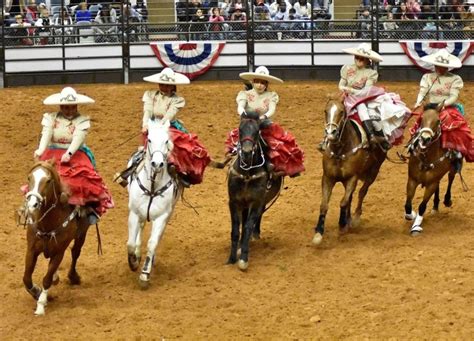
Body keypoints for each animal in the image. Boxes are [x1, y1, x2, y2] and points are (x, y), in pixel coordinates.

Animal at [21, 159, 91, 314]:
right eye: (29, 178)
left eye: (48, 181)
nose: (32, 204)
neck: (47, 224)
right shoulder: (31, 250)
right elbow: (26, 278)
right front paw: (36, 292)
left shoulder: (59, 253)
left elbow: (46, 279)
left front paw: (41, 304)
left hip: (82, 233)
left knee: (75, 252)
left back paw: (73, 277)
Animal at [125, 117, 182, 286]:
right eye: (149, 139)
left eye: (166, 141)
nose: (157, 164)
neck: (152, 187)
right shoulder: (134, 213)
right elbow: (130, 243)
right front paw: (133, 261)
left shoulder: (162, 217)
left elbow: (152, 243)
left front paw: (145, 273)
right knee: (141, 227)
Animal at [226, 111, 282, 270]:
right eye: (240, 130)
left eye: (257, 132)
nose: (246, 152)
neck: (247, 174)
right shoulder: (234, 202)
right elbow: (235, 230)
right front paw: (231, 259)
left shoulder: (256, 203)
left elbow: (247, 228)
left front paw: (243, 260)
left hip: (262, 202)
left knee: (255, 220)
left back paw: (255, 235)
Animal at [312, 97, 386, 243]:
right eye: (325, 111)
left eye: (341, 111)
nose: (330, 133)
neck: (339, 151)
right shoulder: (328, 178)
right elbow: (324, 205)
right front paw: (318, 232)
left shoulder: (353, 178)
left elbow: (343, 202)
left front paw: (341, 225)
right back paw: (349, 219)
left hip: (373, 172)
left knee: (362, 192)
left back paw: (355, 218)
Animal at [404, 103, 460, 235]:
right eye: (421, 119)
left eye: (438, 120)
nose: (425, 139)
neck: (426, 158)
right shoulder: (412, 180)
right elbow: (408, 205)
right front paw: (412, 215)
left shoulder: (431, 184)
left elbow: (422, 206)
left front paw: (416, 226)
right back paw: (435, 206)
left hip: (452, 168)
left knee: (450, 178)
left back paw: (447, 200)